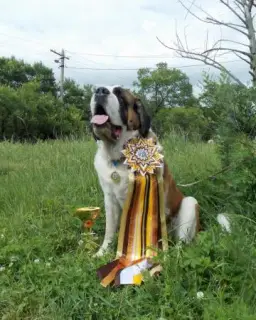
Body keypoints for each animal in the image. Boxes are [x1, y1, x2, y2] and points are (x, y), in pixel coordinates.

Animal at [89, 85, 228, 258]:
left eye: (120, 96)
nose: (100, 91)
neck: (120, 157)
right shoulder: (110, 199)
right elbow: (109, 230)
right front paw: (101, 253)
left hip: (189, 204)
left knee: (181, 244)